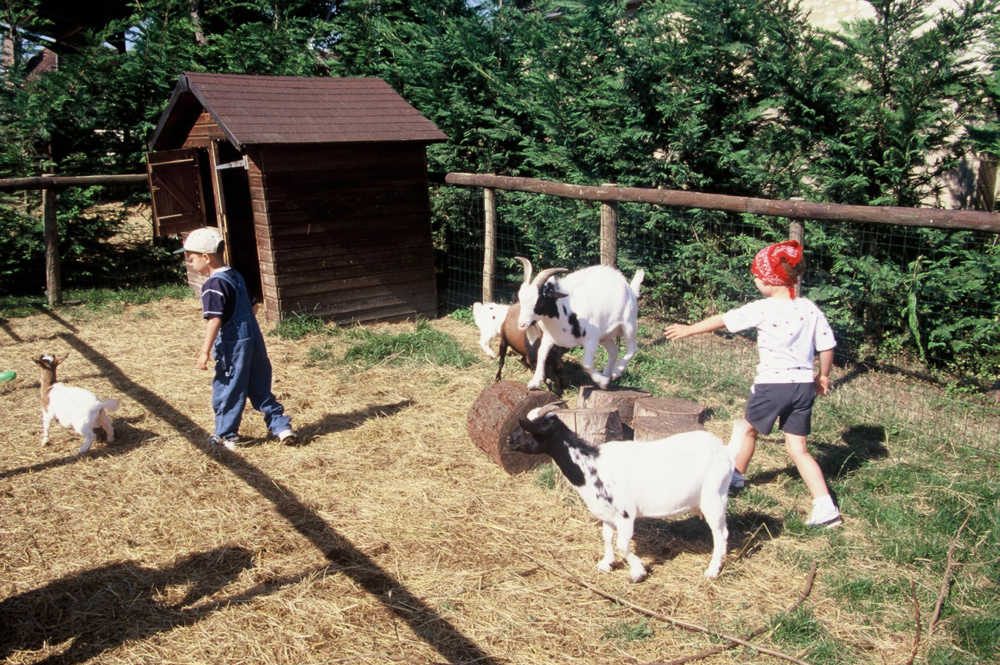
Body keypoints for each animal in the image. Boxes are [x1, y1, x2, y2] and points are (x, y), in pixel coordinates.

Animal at [512, 254, 644, 390]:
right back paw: (607, 376)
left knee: (632, 348)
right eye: (520, 298)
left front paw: (601, 381)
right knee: (614, 351)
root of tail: (630, 289)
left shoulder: (591, 339)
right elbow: (541, 354)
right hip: (605, 336)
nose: (521, 324)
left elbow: (586, 364)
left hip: (629, 324)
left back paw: (616, 372)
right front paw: (534, 382)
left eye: (540, 301)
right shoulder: (549, 337)